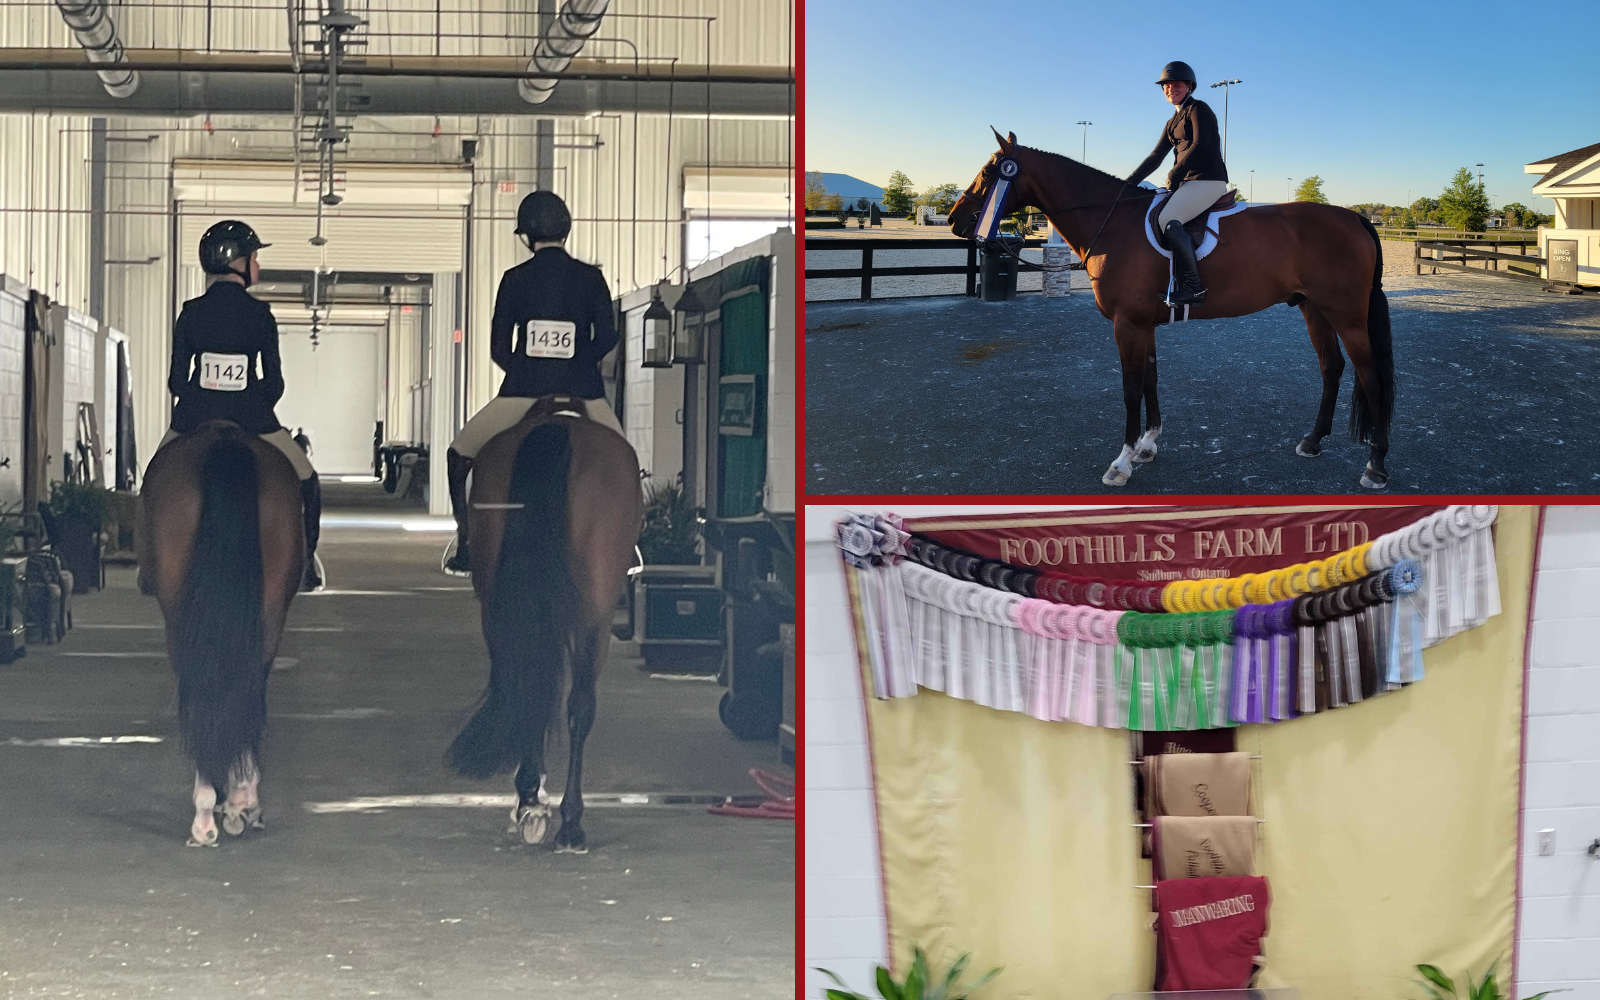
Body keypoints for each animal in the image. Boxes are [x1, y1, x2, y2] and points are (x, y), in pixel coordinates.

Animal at [444, 393, 643, 851]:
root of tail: (557, 426)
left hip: (506, 606)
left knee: (532, 681)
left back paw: (541, 806)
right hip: (593, 615)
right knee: (575, 701)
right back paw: (564, 819)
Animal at [940, 130, 1395, 489]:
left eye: (990, 172)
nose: (954, 220)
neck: (1112, 223)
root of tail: (1354, 218)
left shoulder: (1127, 325)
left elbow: (1130, 388)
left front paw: (1121, 462)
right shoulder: (1144, 325)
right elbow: (1151, 380)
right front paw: (1147, 445)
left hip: (1347, 315)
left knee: (1371, 377)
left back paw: (1375, 465)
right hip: (1314, 309)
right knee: (1332, 367)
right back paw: (1313, 441)